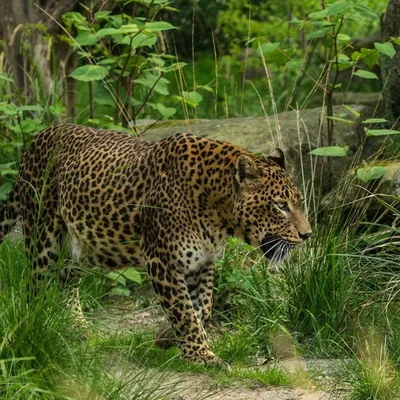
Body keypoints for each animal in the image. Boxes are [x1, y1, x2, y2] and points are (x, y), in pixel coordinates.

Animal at [0, 122, 310, 368]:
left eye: (298, 203)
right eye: (281, 206)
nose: (307, 234)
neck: (218, 212)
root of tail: (39, 136)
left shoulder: (203, 263)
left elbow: (203, 308)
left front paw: (166, 338)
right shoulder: (163, 261)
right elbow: (184, 312)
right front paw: (201, 356)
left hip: (81, 246)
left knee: (66, 281)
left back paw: (75, 327)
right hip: (43, 237)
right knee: (36, 286)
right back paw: (40, 324)